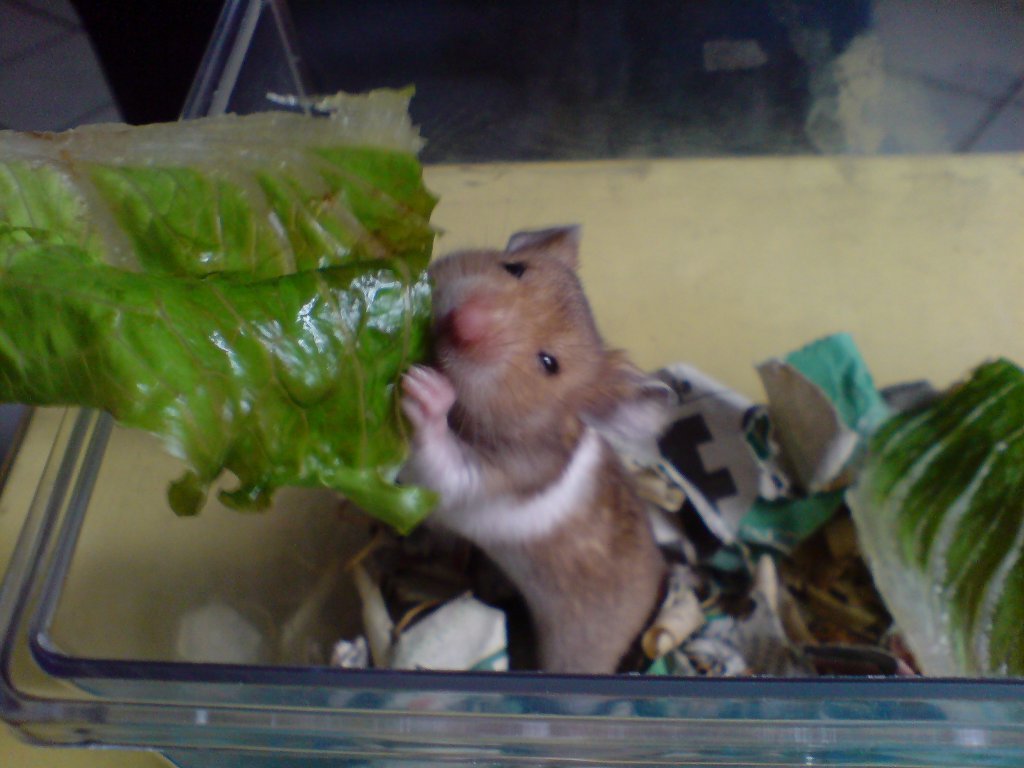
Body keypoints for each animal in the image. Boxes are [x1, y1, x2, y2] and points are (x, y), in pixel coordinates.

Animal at [400, 226, 673, 674]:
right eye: (515, 268)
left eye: (548, 363)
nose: (463, 322)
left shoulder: (479, 479)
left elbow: (440, 457)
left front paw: (423, 387)